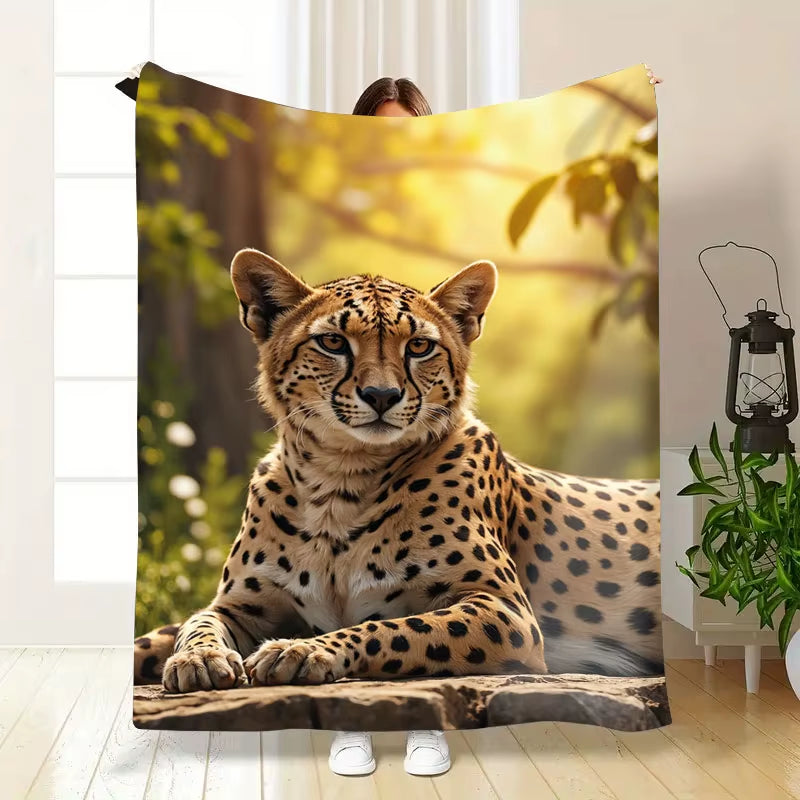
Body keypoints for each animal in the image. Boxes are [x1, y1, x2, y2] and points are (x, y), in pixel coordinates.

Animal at [133, 247, 662, 692]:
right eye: (333, 342)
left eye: (420, 348)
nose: (382, 395)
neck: (339, 481)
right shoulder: (241, 603)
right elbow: (192, 624)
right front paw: (197, 658)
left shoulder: (504, 610)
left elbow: (391, 627)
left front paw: (300, 650)